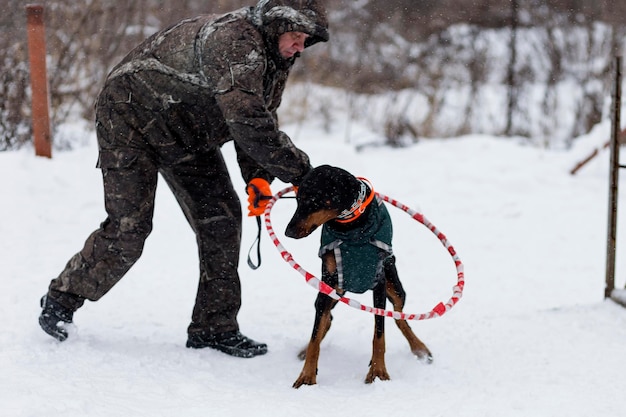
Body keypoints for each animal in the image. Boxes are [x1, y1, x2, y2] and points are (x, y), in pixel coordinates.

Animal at [286, 164, 432, 388]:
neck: (351, 228)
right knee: (326, 317)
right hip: (335, 289)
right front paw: (306, 375)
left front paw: (378, 372)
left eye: (314, 201)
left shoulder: (379, 281)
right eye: (298, 199)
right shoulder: (329, 279)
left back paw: (420, 349)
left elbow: (379, 333)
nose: (288, 232)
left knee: (399, 315)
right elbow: (315, 335)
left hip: (395, 286)